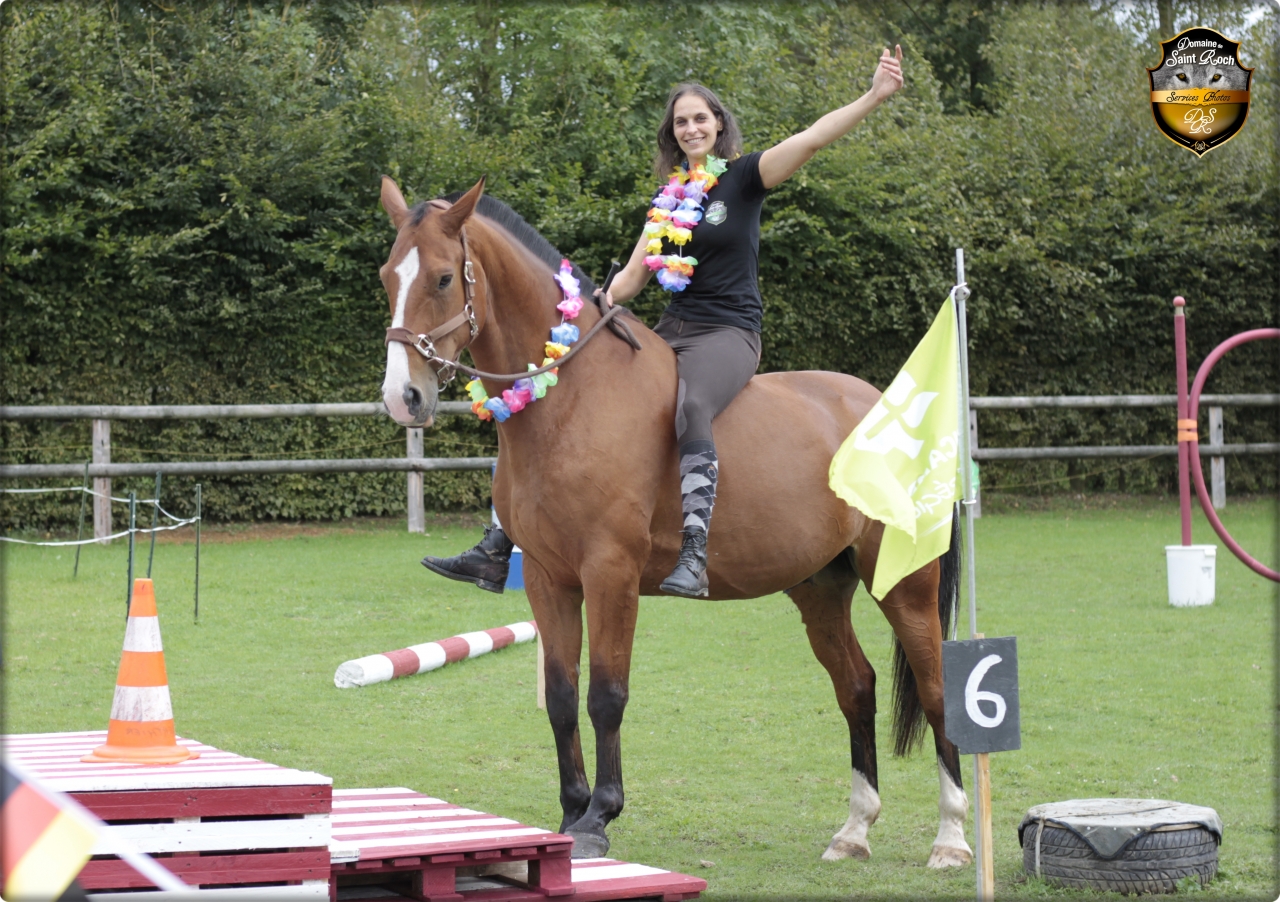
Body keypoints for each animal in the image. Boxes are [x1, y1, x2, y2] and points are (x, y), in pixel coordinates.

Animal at [377, 175, 973, 868]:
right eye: (388, 276)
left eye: (445, 278)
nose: (403, 398)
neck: (571, 398)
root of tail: (887, 405)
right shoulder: (550, 580)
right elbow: (560, 697)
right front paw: (571, 810)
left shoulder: (610, 575)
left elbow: (606, 695)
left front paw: (599, 817)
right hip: (820, 589)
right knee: (856, 686)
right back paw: (854, 829)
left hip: (906, 587)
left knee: (936, 691)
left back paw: (952, 838)